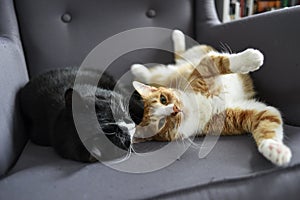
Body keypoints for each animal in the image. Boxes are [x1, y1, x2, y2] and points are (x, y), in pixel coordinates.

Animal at [131, 29, 290, 166]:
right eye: (161, 123)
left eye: (163, 99)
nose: (175, 109)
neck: (200, 108)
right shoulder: (246, 114)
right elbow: (268, 119)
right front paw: (276, 151)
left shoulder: (203, 69)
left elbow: (220, 62)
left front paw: (251, 57)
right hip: (164, 76)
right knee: (156, 72)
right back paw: (138, 69)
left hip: (189, 58)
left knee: (178, 57)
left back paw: (175, 37)